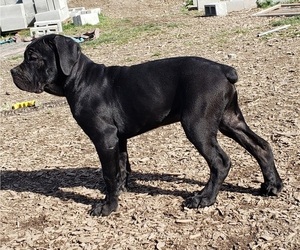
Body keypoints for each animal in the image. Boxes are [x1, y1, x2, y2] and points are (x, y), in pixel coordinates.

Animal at [10, 34, 282, 216]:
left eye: (32, 58)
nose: (12, 72)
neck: (79, 79)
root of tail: (223, 69)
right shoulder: (118, 139)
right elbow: (121, 168)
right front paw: (120, 192)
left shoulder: (104, 138)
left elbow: (108, 173)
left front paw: (107, 207)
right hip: (230, 120)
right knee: (261, 146)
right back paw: (272, 185)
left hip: (198, 126)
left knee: (221, 162)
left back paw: (204, 199)